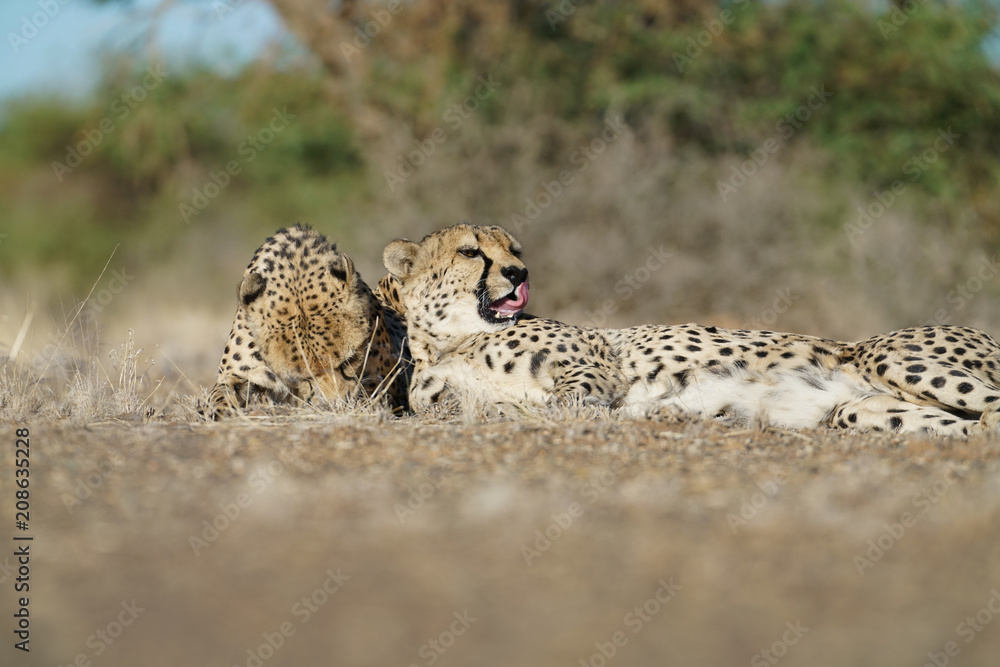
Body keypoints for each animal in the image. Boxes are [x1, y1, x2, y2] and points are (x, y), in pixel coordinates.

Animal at [202, 224, 410, 418]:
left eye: (349, 360)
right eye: (303, 377)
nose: (340, 404)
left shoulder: (391, 385)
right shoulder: (232, 374)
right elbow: (218, 396)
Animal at [384, 223, 1000, 436]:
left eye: (514, 250)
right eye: (471, 252)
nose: (520, 273)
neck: (453, 338)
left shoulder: (595, 364)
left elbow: (571, 402)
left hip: (886, 357)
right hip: (859, 408)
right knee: (973, 427)